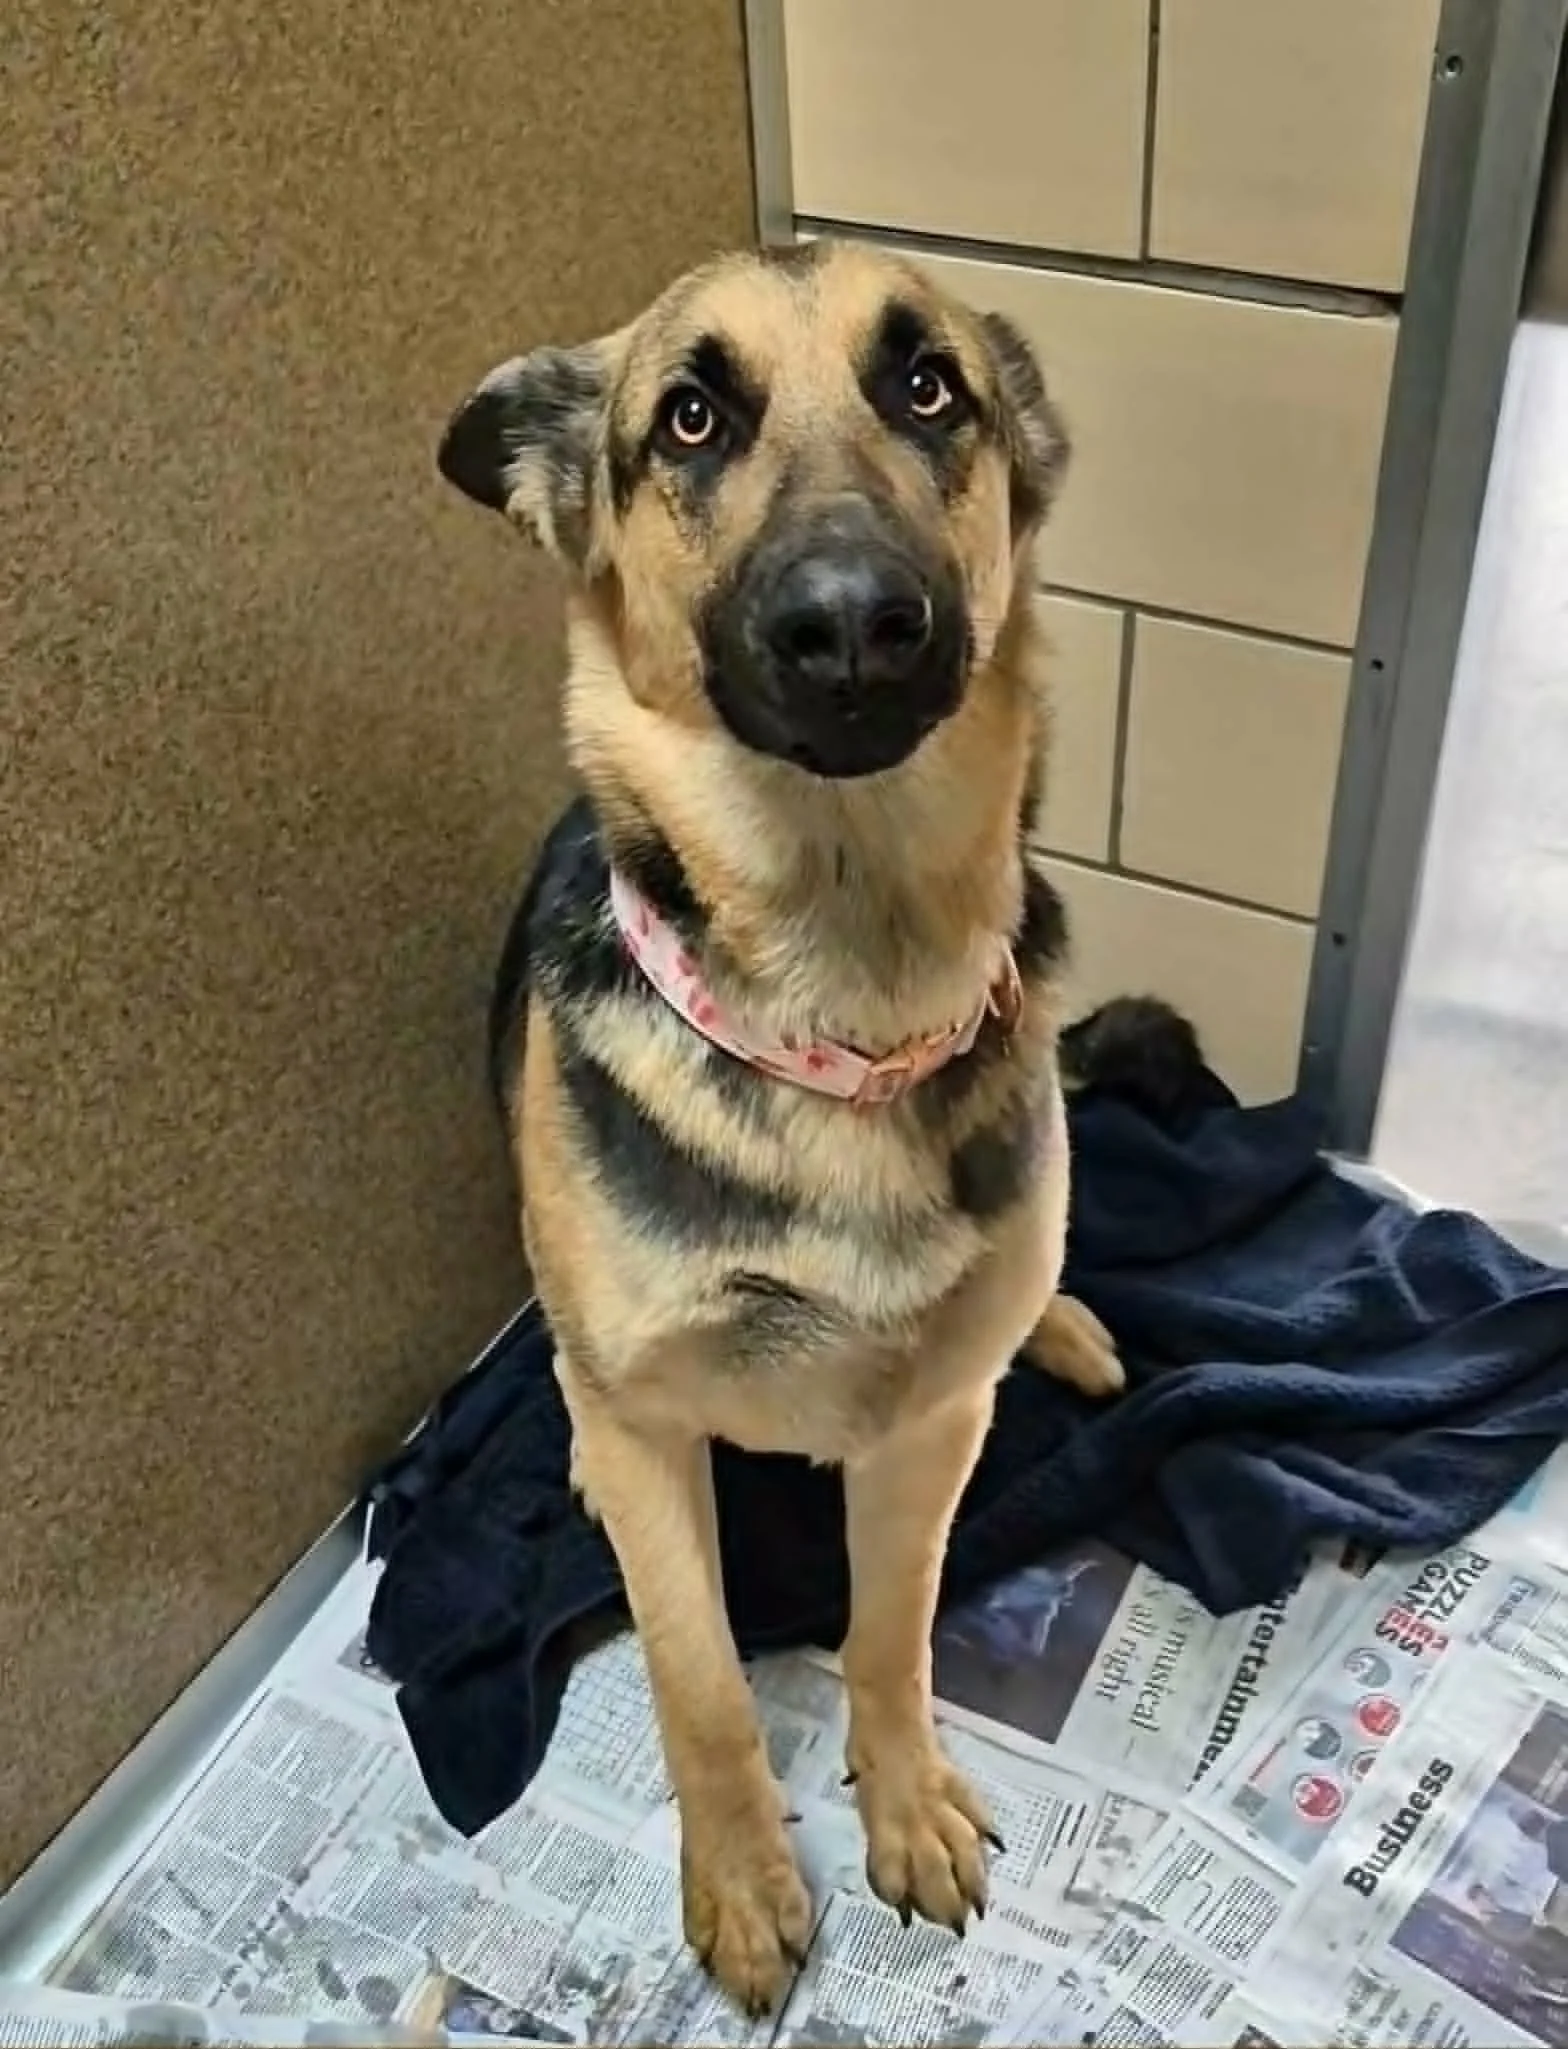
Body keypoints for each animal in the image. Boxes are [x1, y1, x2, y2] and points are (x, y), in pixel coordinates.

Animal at [438, 238, 1124, 2013]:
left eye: (927, 386)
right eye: (690, 418)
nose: (855, 625)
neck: (840, 1013)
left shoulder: (927, 1432)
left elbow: (893, 1631)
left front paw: (905, 1801)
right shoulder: (649, 1431)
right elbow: (700, 1686)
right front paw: (746, 1877)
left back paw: (1066, 1324)